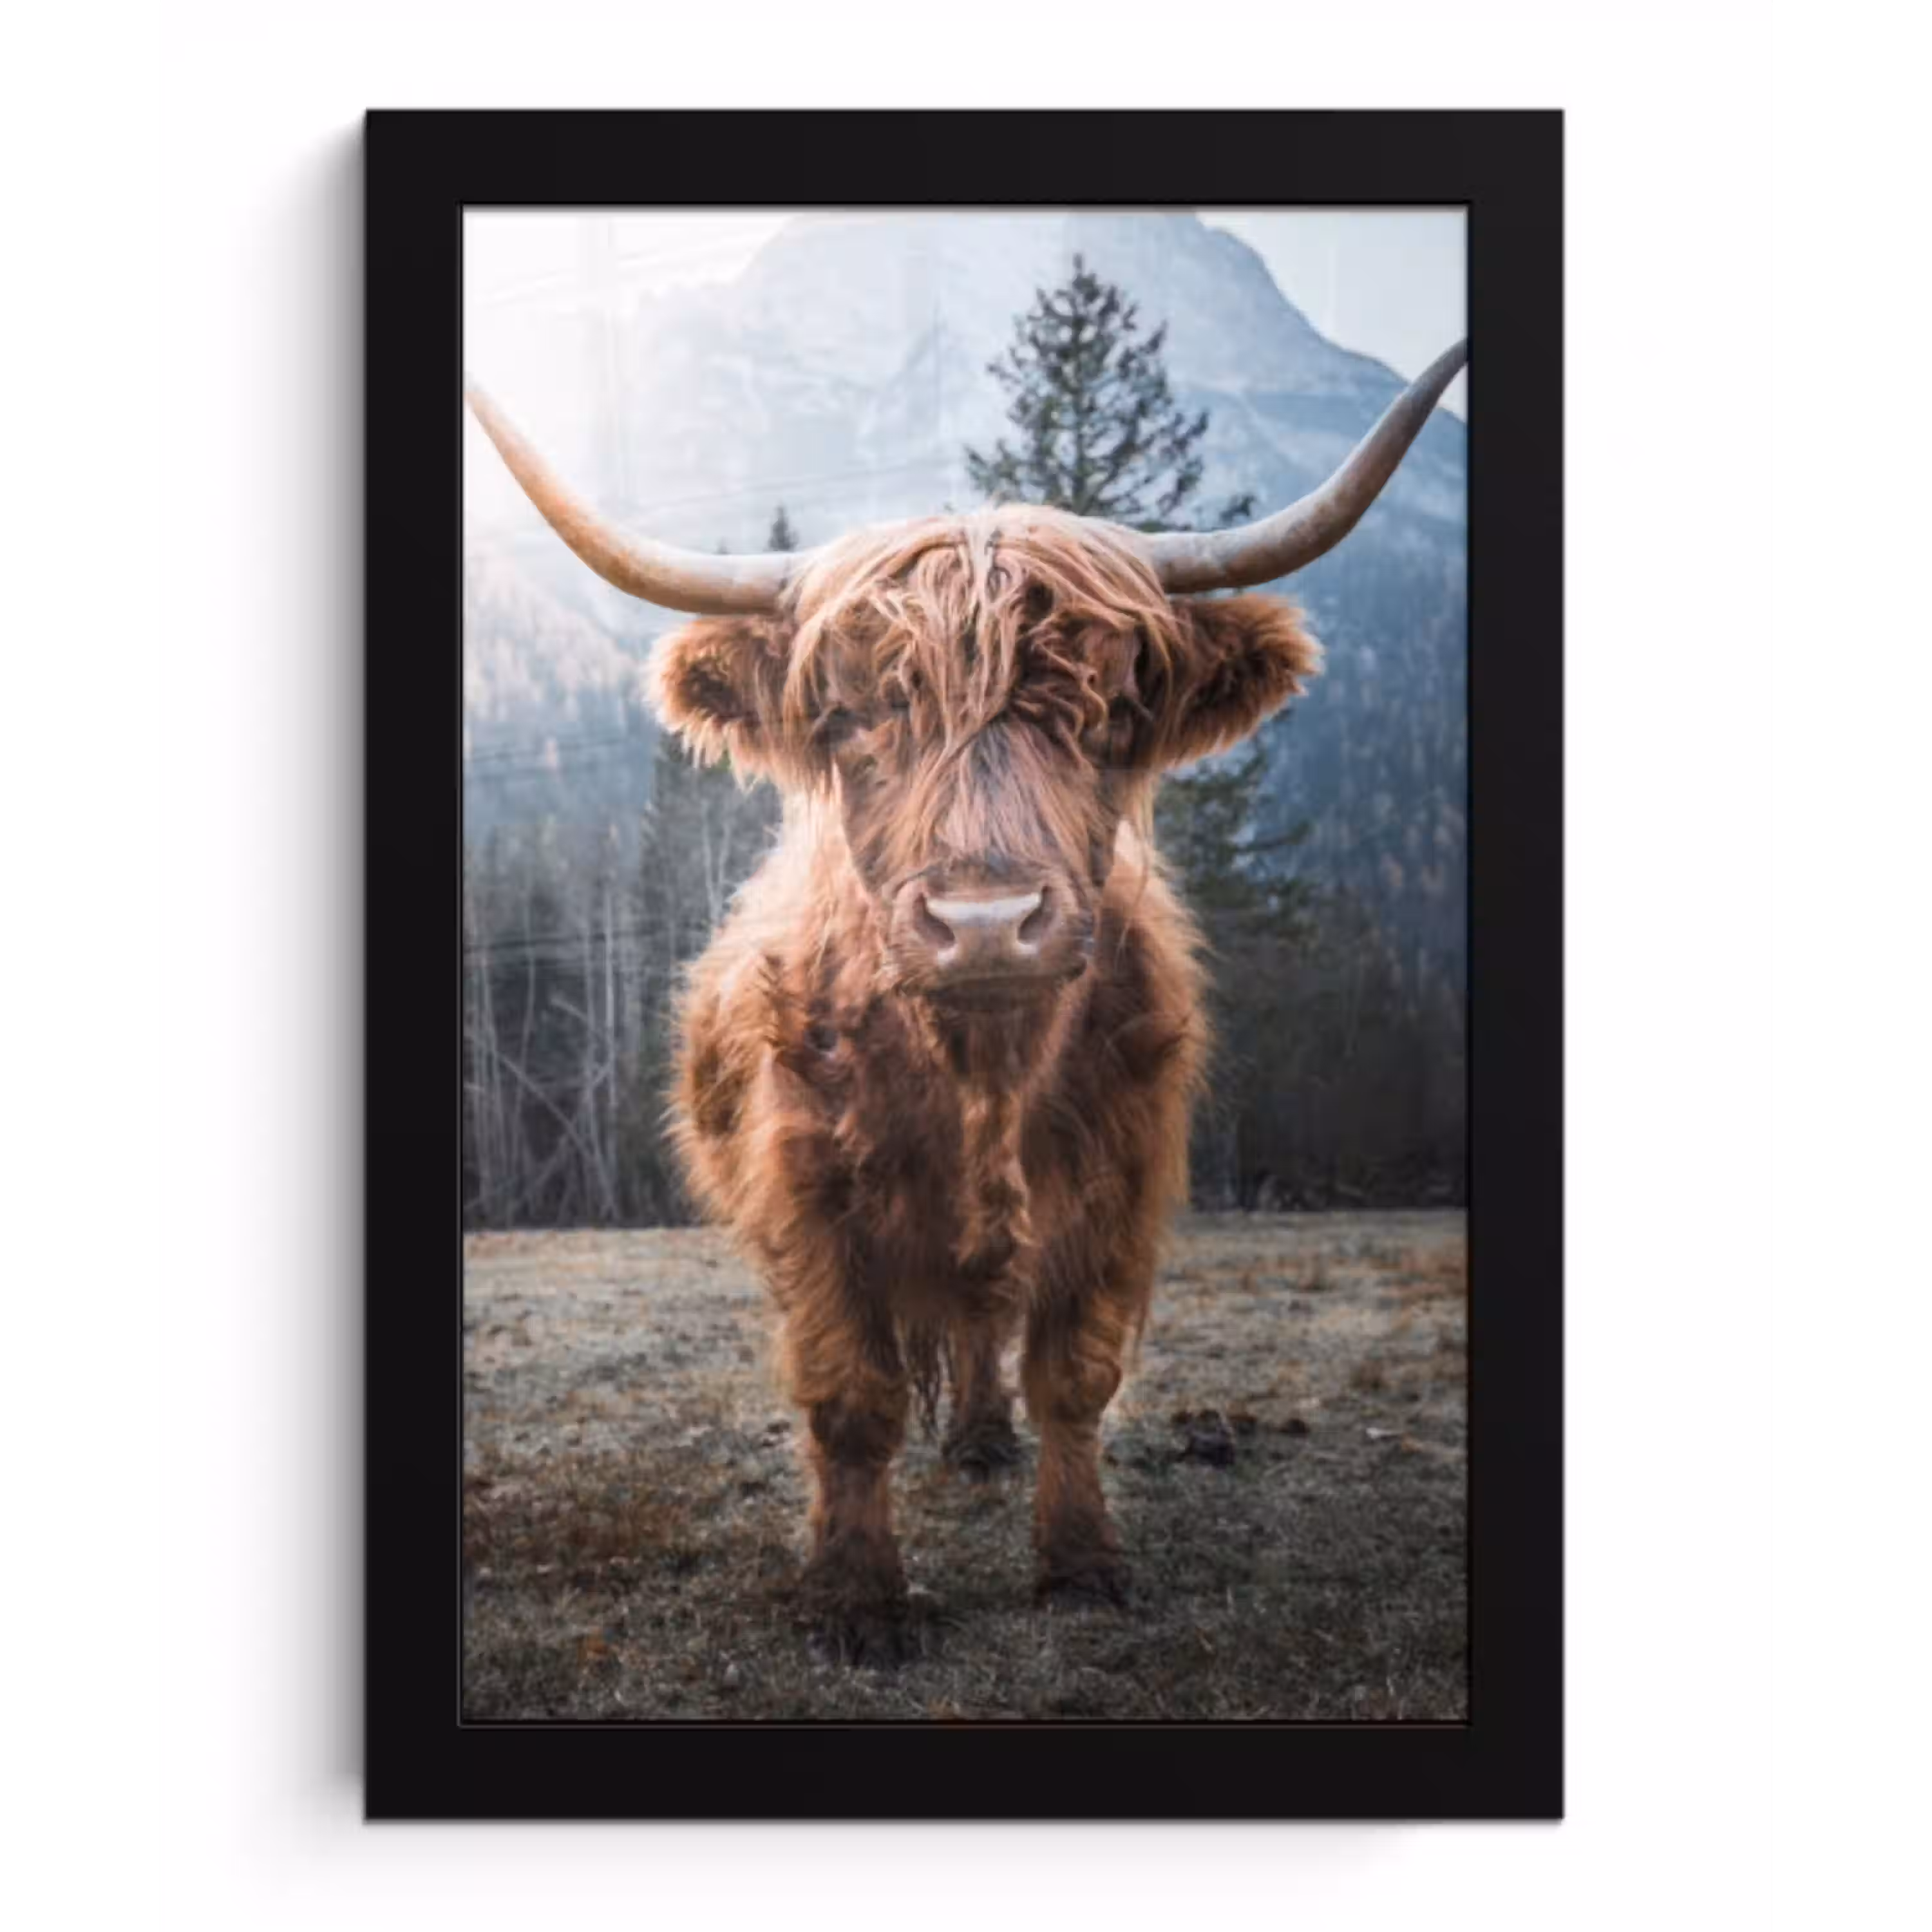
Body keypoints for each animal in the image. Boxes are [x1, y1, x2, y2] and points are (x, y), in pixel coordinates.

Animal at [466, 340, 1466, 1660]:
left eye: (1108, 712)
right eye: (849, 717)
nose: (987, 922)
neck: (981, 1070)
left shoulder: (1118, 1183)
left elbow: (1074, 1378)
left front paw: (1082, 1562)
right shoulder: (809, 1194)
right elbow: (851, 1397)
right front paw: (856, 1597)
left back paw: (987, 1440)